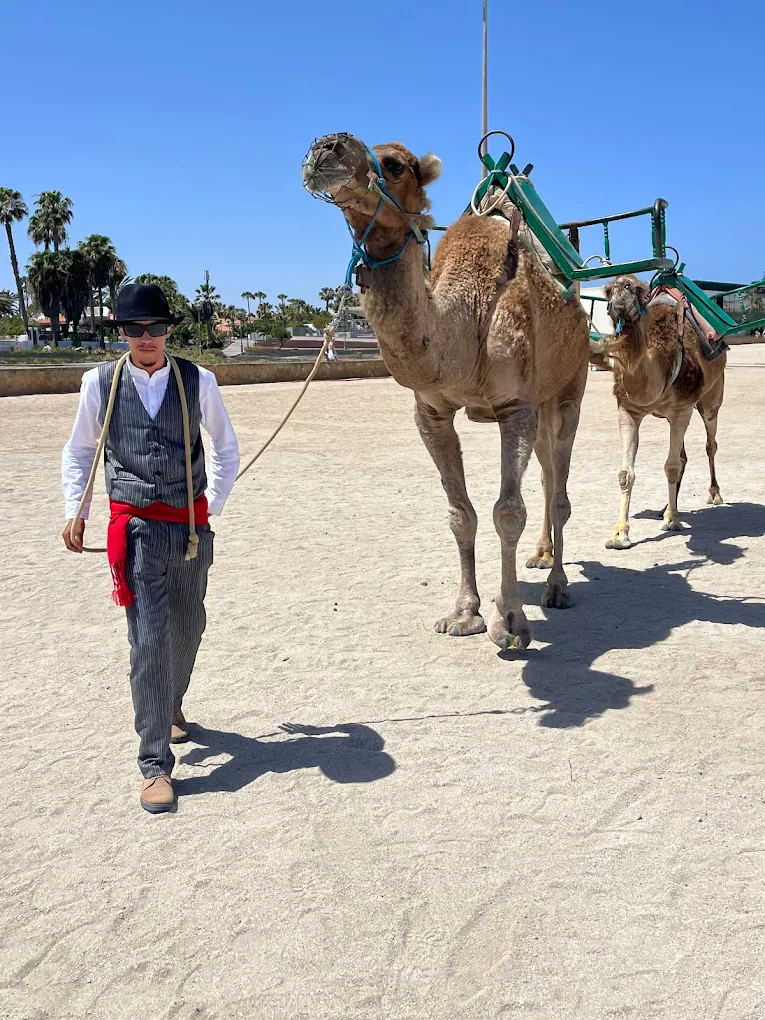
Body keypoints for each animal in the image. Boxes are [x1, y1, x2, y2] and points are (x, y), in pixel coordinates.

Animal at [303, 134, 589, 650]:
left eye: (395, 164)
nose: (324, 149)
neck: (466, 313)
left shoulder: (514, 405)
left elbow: (507, 511)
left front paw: (510, 622)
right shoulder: (432, 412)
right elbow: (461, 513)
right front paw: (463, 613)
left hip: (570, 386)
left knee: (559, 486)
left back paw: (558, 587)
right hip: (542, 399)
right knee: (546, 473)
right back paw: (541, 556)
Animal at [594, 275, 726, 550]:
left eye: (638, 289)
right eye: (608, 289)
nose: (622, 289)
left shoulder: (682, 409)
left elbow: (671, 467)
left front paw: (673, 521)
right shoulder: (628, 410)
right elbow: (625, 473)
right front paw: (619, 535)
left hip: (711, 399)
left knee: (711, 444)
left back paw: (713, 494)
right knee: (684, 455)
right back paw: (664, 507)